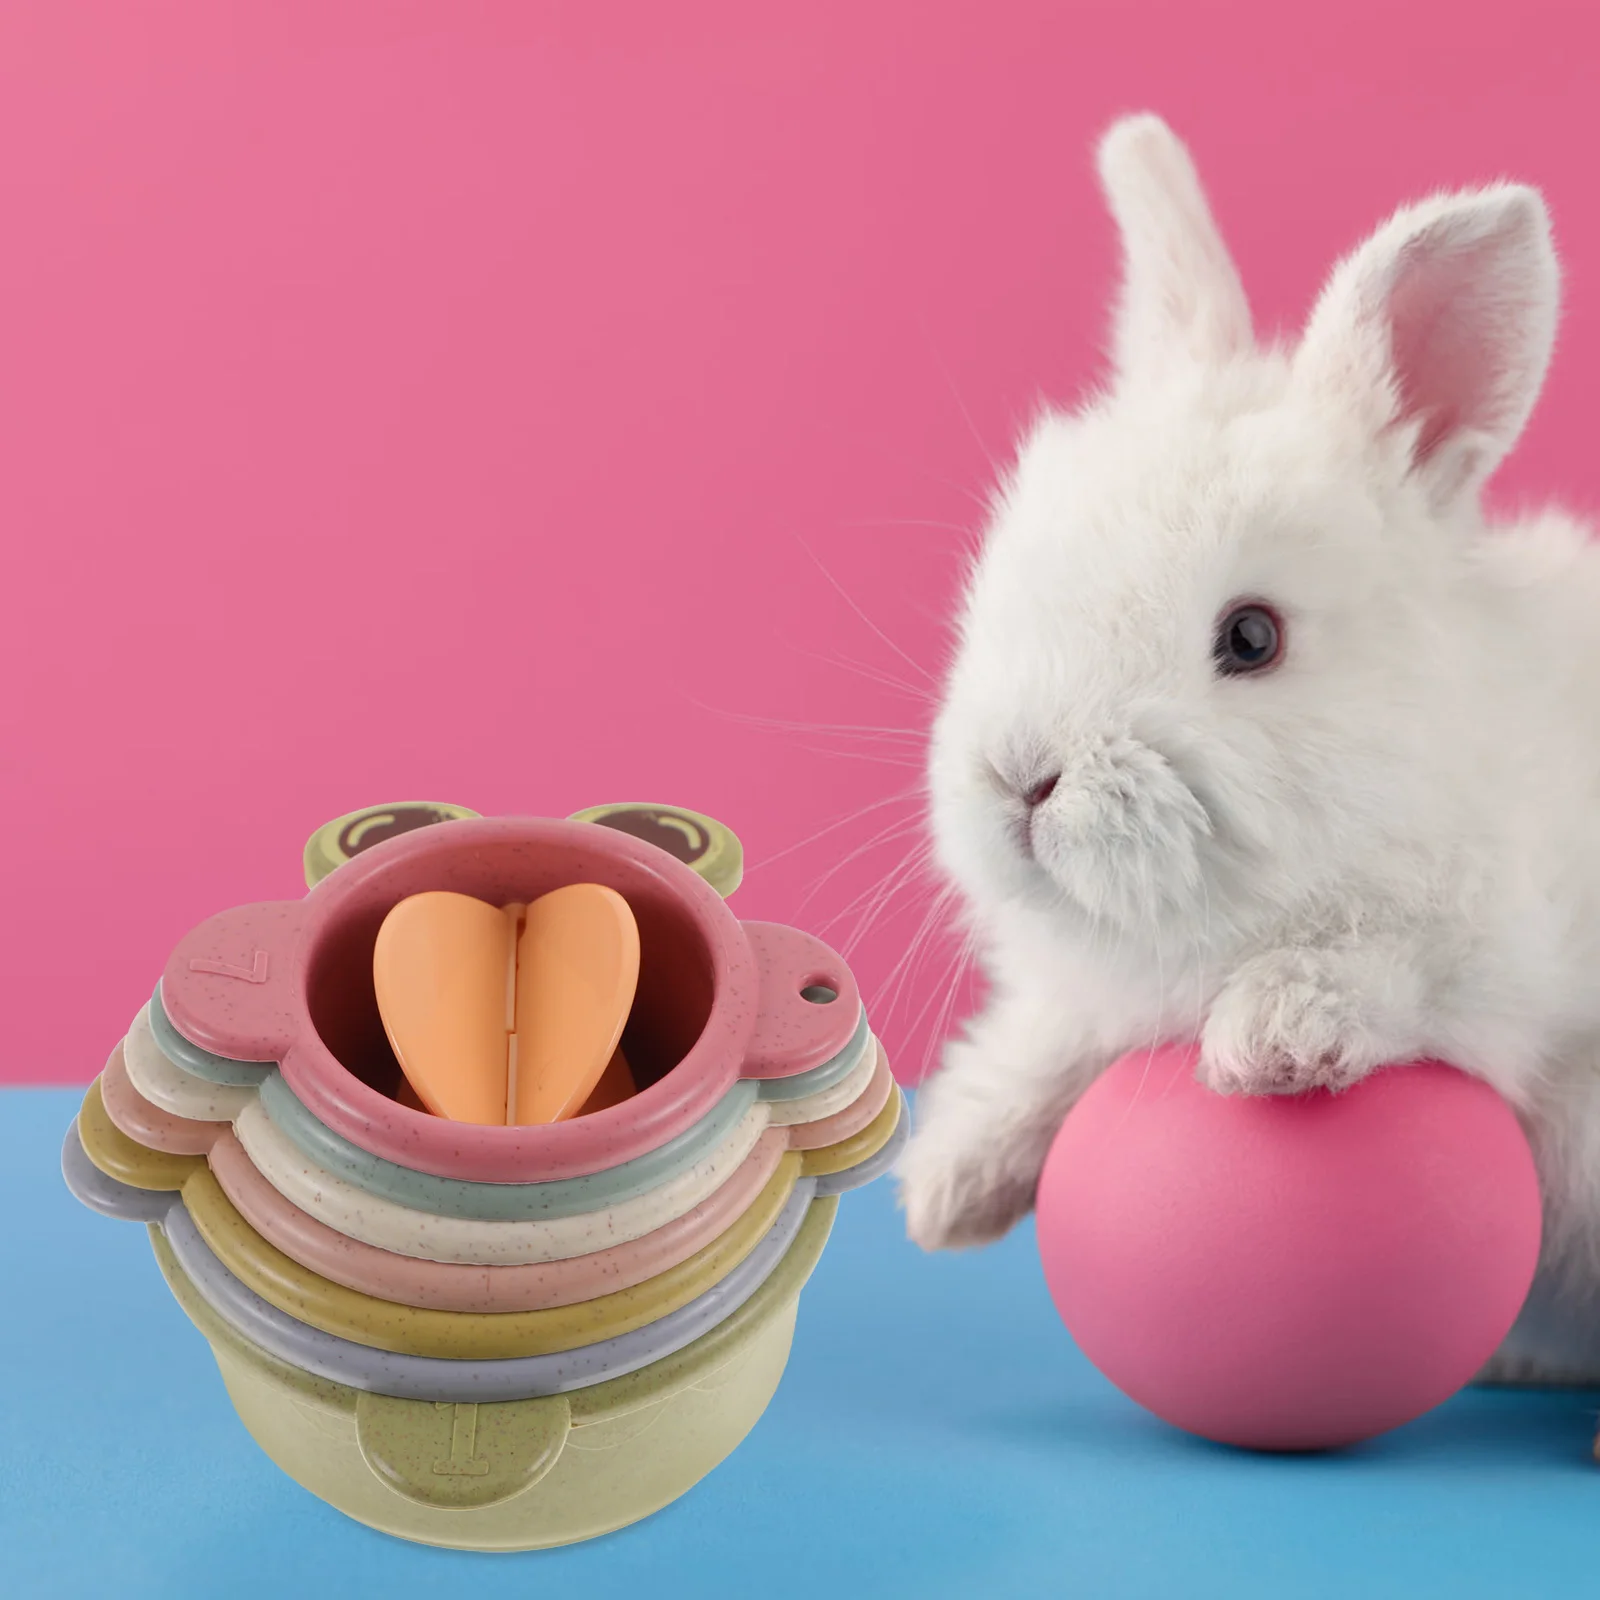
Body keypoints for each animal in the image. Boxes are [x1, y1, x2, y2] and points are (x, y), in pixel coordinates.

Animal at [898, 111, 1600, 1385]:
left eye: (1253, 637)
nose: (1020, 779)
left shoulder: (1508, 959)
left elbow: (1399, 965)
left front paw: (1269, 1036)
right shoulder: (1091, 1000)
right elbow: (1047, 1042)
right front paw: (950, 1186)